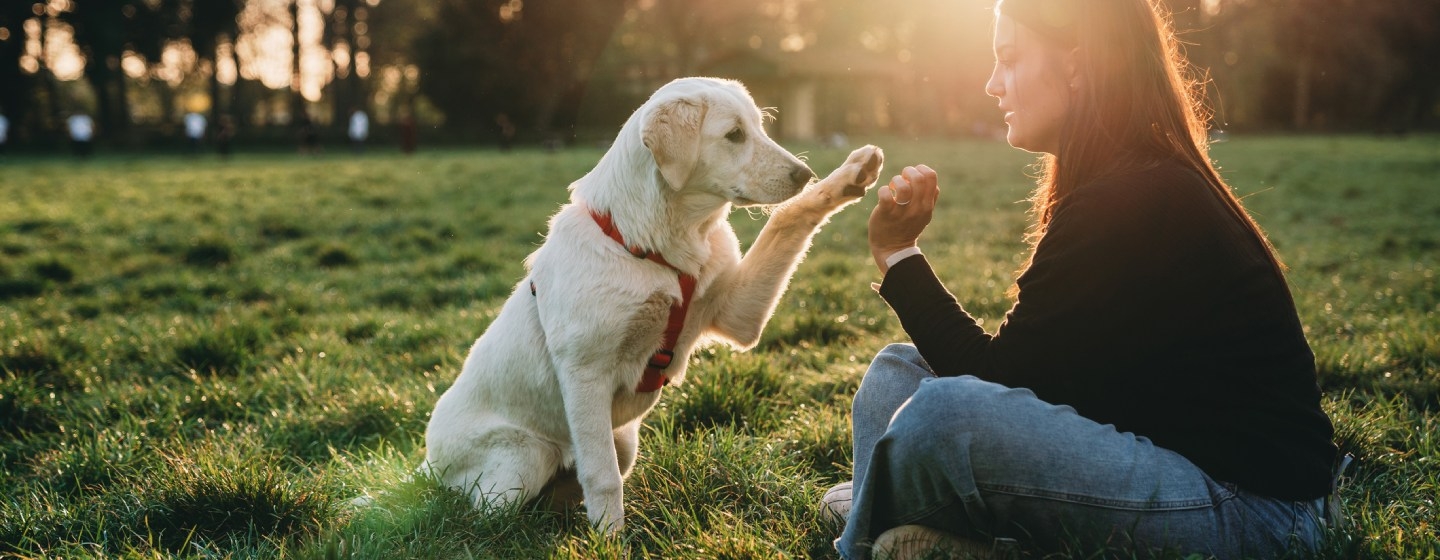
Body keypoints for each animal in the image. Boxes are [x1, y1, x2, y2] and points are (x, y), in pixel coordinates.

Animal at [420, 76, 881, 529]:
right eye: (734, 135)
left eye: (760, 127)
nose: (804, 173)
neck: (656, 248)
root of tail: (425, 464)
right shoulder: (585, 373)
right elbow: (602, 477)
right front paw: (610, 540)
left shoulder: (738, 314)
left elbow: (787, 217)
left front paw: (848, 178)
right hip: (525, 458)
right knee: (486, 513)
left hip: (621, 441)